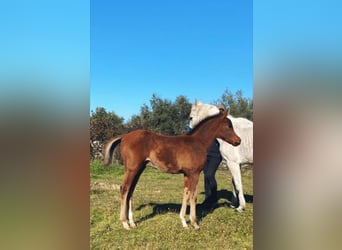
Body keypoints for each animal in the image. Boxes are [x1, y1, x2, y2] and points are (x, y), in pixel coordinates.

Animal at [103, 110, 240, 230]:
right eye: (229, 126)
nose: (238, 141)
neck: (198, 143)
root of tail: (125, 136)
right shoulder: (194, 173)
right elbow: (193, 196)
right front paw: (195, 224)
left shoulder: (186, 174)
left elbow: (186, 194)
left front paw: (184, 222)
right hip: (132, 169)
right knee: (124, 189)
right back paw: (125, 223)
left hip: (139, 169)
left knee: (131, 191)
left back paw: (132, 222)